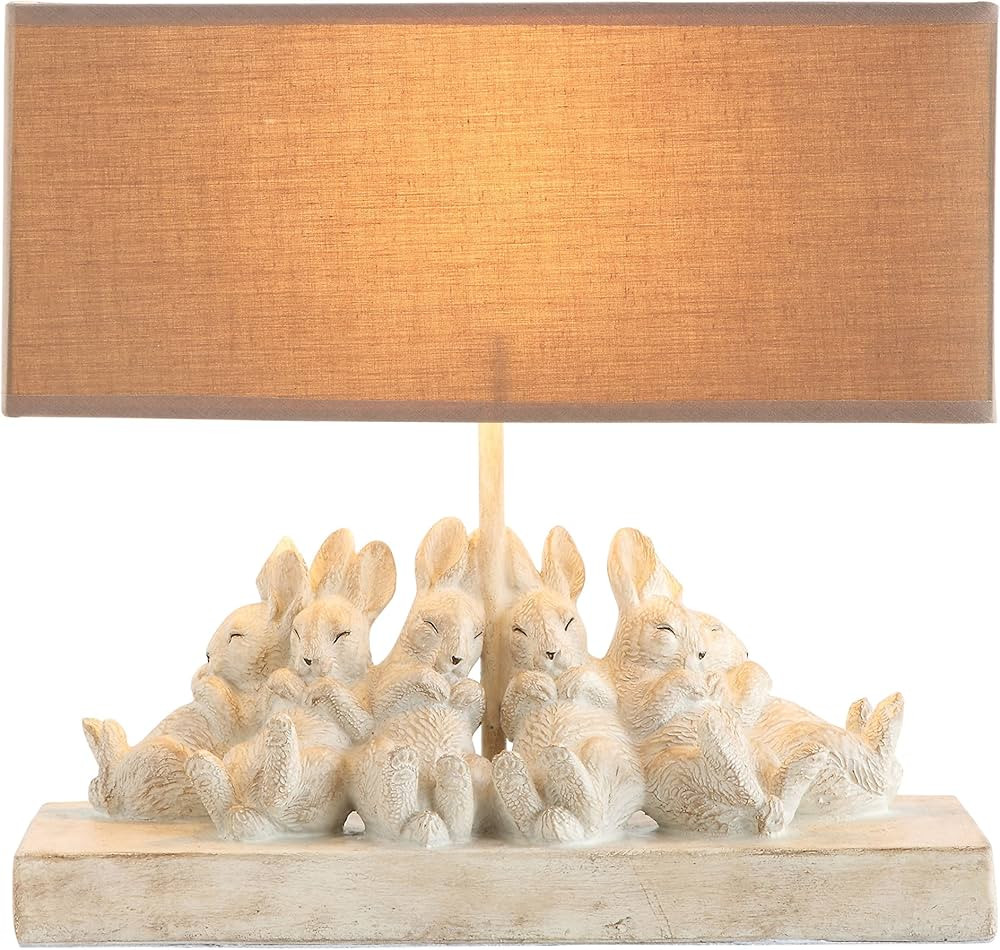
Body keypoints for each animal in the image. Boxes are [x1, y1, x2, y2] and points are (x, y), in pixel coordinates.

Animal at [185, 529, 395, 840]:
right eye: (297, 631)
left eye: (342, 635)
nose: (308, 659)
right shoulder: (257, 708)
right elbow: (243, 711)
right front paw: (285, 682)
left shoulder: (362, 698)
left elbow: (364, 725)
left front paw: (317, 690)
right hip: (238, 757)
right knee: (231, 806)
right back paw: (209, 769)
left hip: (325, 770)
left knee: (280, 797)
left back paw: (280, 739)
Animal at [349, 517, 492, 848]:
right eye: (431, 624)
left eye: (478, 634)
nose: (456, 659)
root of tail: (428, 811)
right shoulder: (385, 686)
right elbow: (404, 683)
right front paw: (437, 688)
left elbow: (477, 698)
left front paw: (461, 692)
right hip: (371, 763)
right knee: (392, 816)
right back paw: (404, 770)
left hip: (481, 771)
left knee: (459, 824)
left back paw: (452, 776)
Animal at [491, 527, 645, 844]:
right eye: (519, 630)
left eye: (569, 622)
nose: (551, 653)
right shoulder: (509, 712)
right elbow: (511, 708)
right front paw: (541, 687)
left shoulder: (605, 685)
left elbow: (601, 692)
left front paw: (569, 685)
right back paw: (514, 777)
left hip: (605, 757)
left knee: (594, 814)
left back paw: (561, 767)